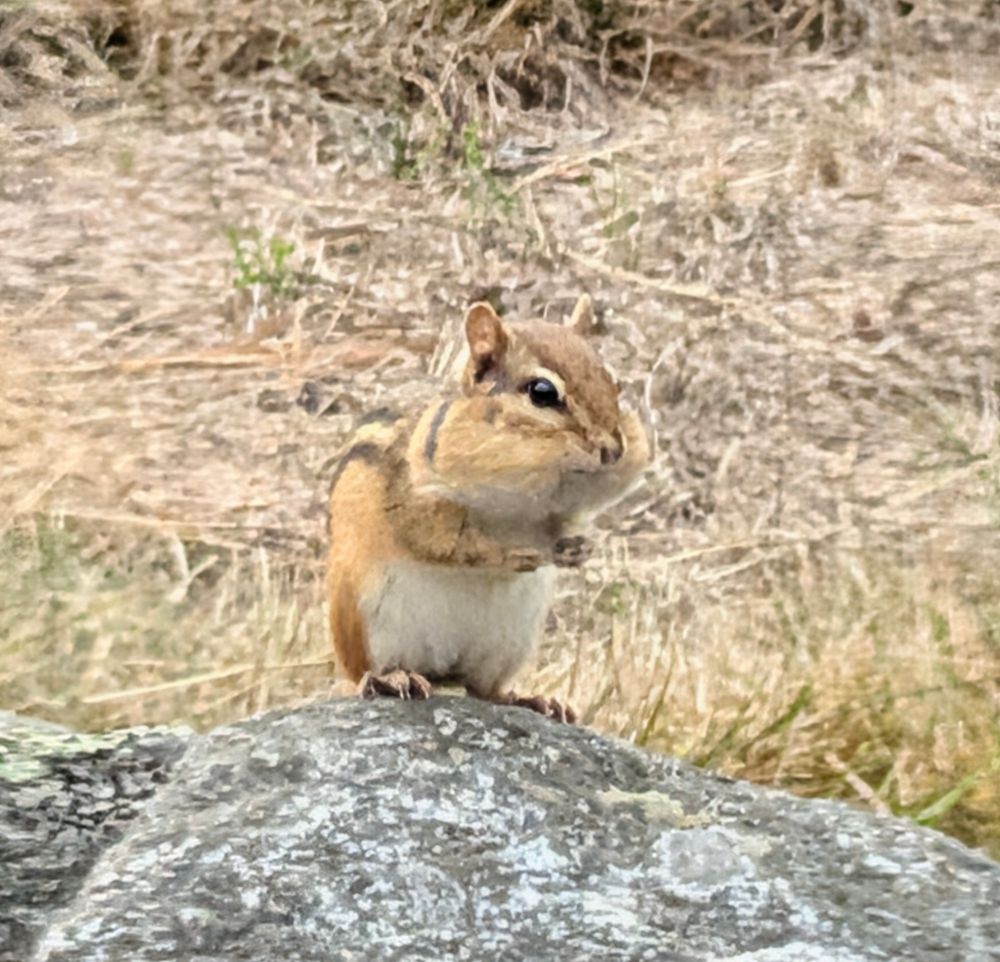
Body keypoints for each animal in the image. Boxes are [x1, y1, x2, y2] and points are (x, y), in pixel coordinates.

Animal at [326, 295, 651, 723]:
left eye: (614, 383)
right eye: (542, 392)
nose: (614, 449)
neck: (517, 500)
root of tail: (439, 672)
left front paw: (579, 547)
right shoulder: (418, 505)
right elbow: (456, 545)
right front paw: (519, 554)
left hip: (511, 640)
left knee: (484, 690)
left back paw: (535, 701)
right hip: (364, 621)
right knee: (364, 675)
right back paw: (393, 679)